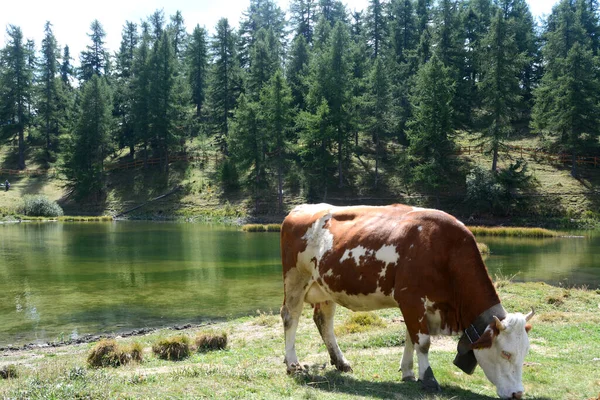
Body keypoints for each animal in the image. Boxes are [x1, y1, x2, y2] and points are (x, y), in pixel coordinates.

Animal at [282, 205, 536, 398]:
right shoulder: (411, 299)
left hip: (326, 286)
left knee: (324, 321)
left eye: (526, 352)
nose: (518, 394)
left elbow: (410, 337)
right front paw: (428, 378)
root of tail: (301, 208)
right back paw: (293, 365)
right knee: (290, 317)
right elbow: (422, 342)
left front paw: (408, 372)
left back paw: (341, 362)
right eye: (506, 353)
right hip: (295, 279)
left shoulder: (414, 304)